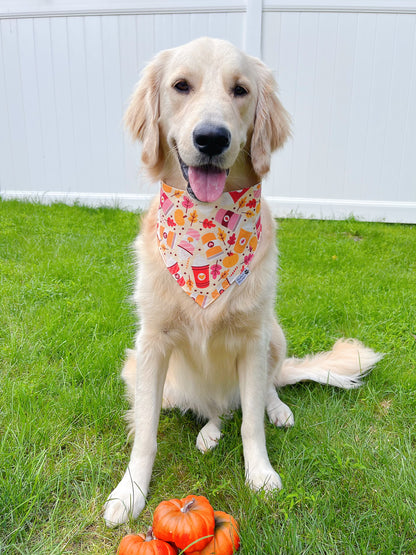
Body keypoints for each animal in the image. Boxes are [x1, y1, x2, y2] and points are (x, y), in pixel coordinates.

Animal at [103, 38, 380, 524]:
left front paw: (261, 473)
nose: (212, 138)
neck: (207, 229)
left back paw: (277, 409)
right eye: (181, 86)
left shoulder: (253, 338)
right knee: (214, 410)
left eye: (241, 90)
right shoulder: (151, 342)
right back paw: (209, 431)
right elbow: (146, 432)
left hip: (274, 333)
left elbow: (252, 421)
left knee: (262, 390)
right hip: (148, 370)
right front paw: (131, 490)